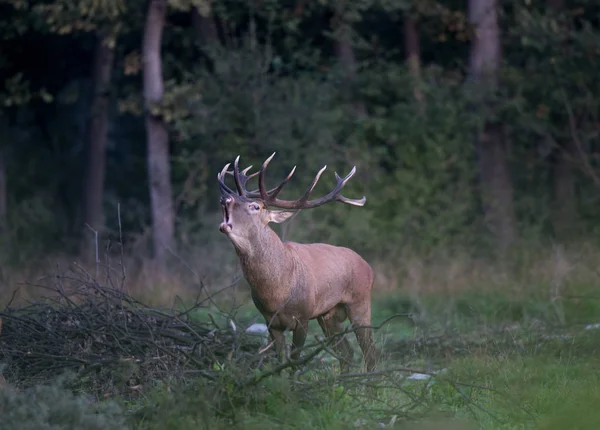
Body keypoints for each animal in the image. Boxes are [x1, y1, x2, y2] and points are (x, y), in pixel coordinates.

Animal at [217, 153, 376, 372]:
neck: (276, 292)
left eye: (255, 206)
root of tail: (368, 267)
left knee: (369, 351)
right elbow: (280, 360)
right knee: (347, 352)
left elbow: (294, 360)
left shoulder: (302, 317)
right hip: (328, 315)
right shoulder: (270, 321)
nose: (225, 197)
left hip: (360, 302)